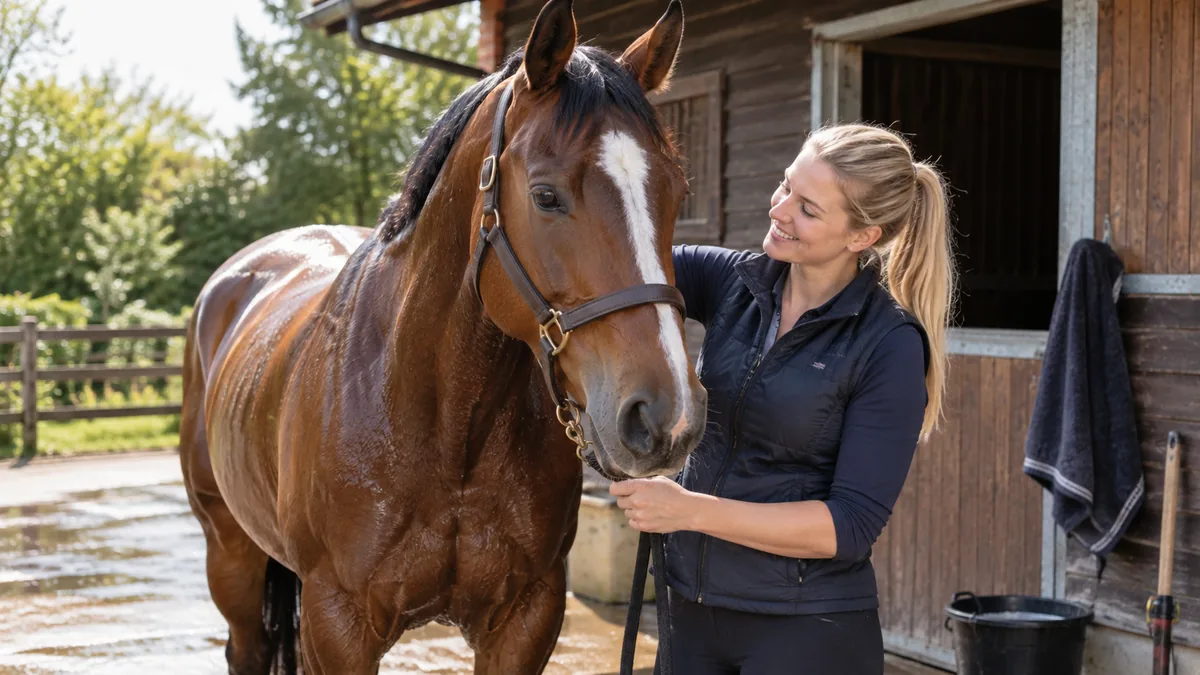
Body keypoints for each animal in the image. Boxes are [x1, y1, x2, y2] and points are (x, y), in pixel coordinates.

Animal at [178, 0, 706, 672]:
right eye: (545, 195)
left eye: (677, 193)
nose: (667, 417)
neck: (448, 426)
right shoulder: (337, 624)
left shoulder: (526, 619)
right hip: (230, 551)